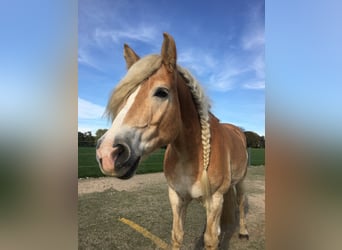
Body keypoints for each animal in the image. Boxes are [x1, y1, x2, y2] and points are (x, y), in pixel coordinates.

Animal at [96, 33, 248, 250]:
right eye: (126, 96)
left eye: (162, 92)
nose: (108, 153)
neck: (193, 155)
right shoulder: (177, 197)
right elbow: (178, 235)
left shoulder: (215, 199)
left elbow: (211, 240)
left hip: (241, 181)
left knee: (241, 203)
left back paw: (243, 232)